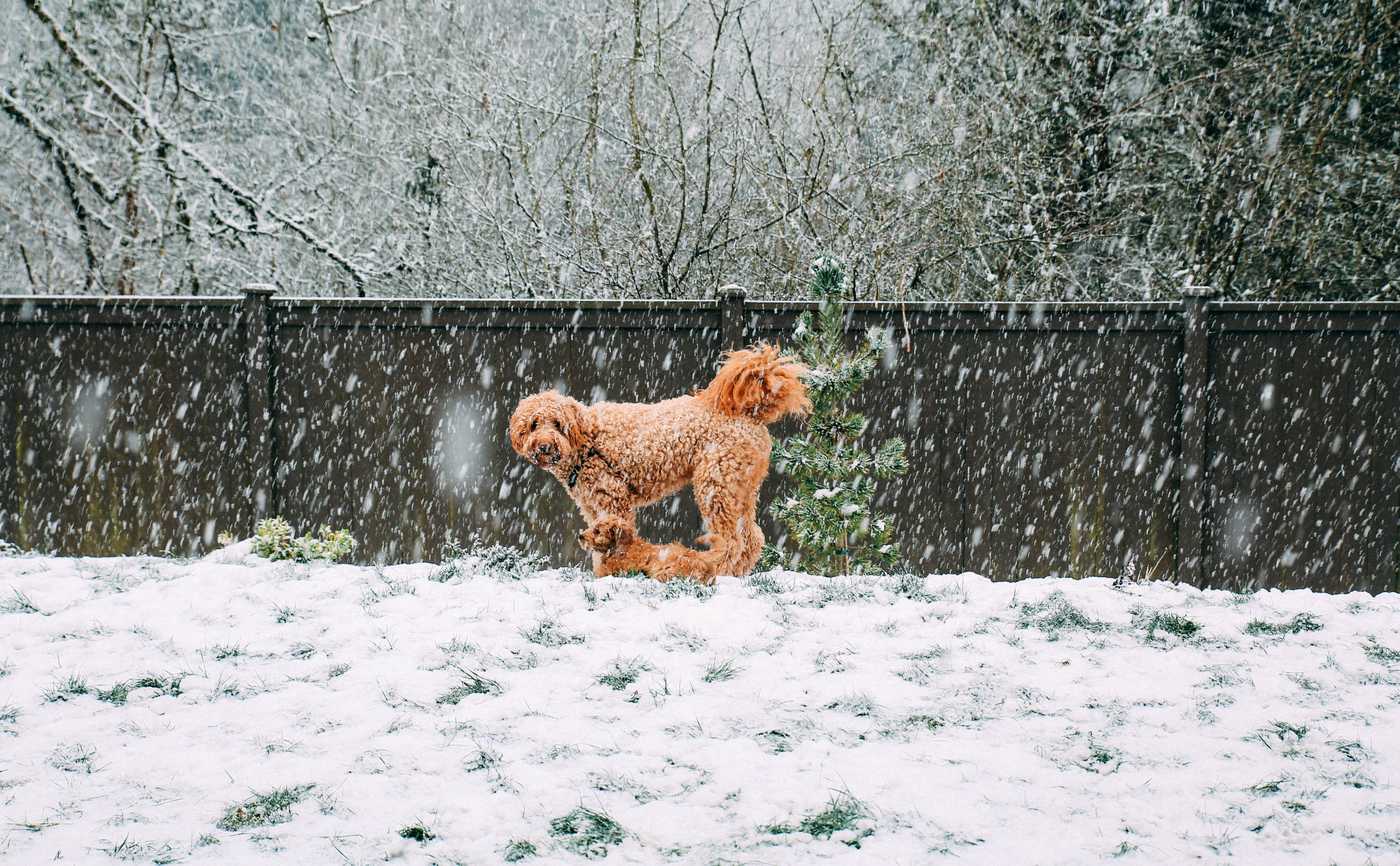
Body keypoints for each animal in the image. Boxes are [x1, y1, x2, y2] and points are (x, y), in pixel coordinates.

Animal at [509, 345, 806, 581]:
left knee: (732, 540)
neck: (586, 441)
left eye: (558, 424)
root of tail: (749, 413)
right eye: (534, 424)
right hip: (741, 489)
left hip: (716, 486)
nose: (544, 445)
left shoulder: (612, 499)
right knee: (751, 538)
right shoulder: (592, 506)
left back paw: (717, 569)